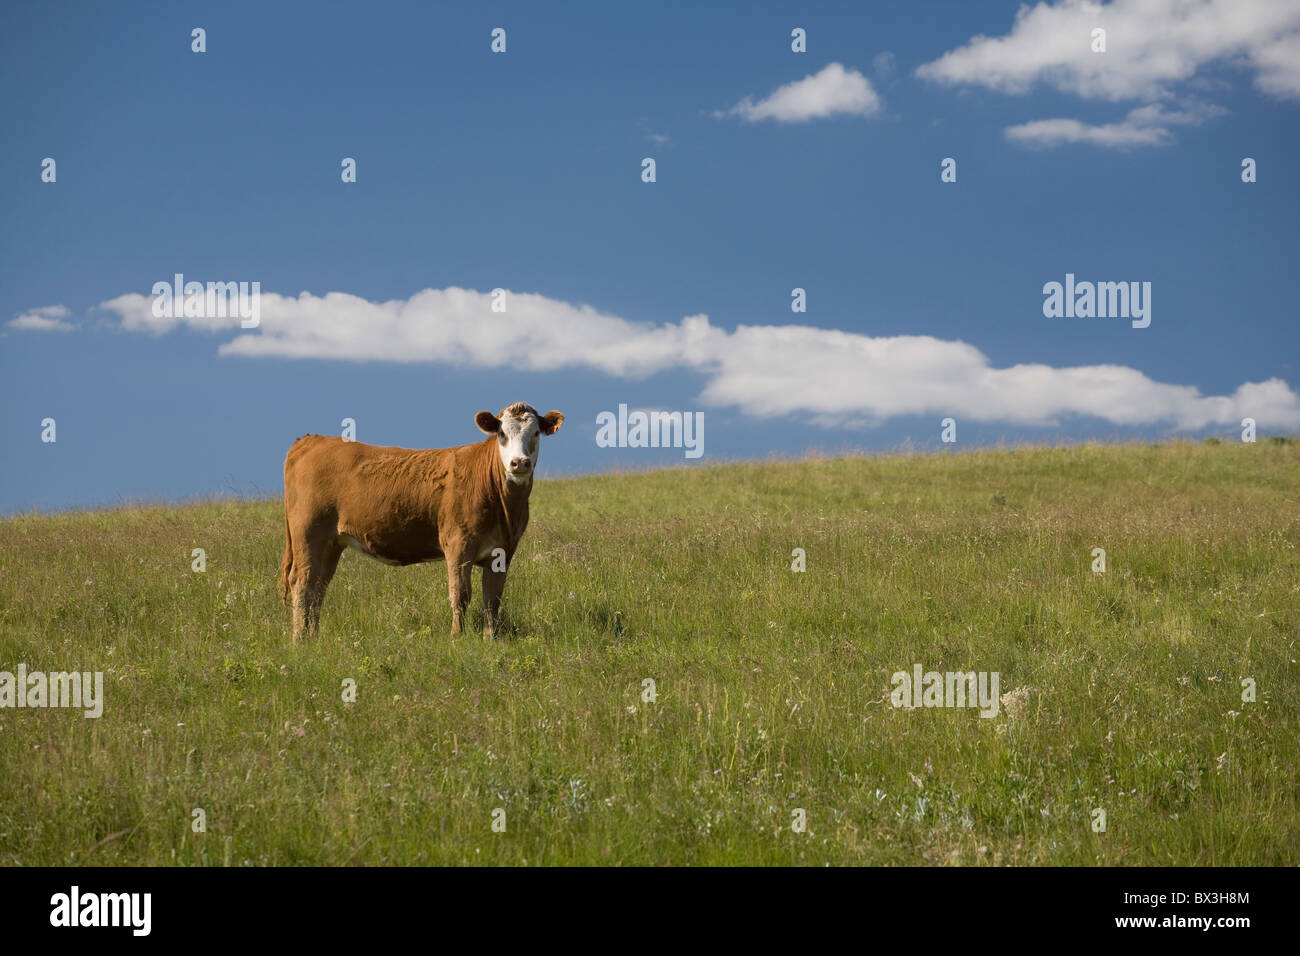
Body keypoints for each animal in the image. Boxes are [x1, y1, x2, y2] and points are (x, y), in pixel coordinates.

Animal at [279, 400, 564, 639]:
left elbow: (492, 599)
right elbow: (460, 594)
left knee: (318, 586)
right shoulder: (458, 543)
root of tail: (311, 440)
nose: (519, 463)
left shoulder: (503, 550)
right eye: (502, 434)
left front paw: (490, 639)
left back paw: (312, 638)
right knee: (302, 583)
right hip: (308, 533)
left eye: (535, 433)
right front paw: (457, 638)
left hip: (331, 542)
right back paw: (298, 640)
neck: (504, 506)